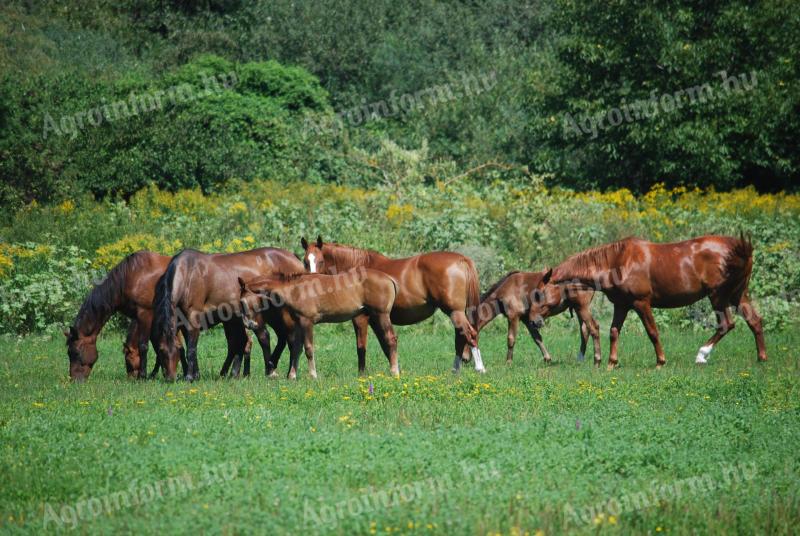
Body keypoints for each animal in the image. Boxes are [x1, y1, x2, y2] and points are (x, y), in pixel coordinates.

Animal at [151, 247, 304, 382]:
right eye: (161, 350)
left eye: (176, 350)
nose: (170, 378)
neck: (187, 273)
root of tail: (295, 258)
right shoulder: (183, 322)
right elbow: (189, 345)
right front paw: (195, 375)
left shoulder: (193, 317)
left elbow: (192, 348)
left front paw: (189, 377)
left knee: (267, 338)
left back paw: (274, 372)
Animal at [238, 266, 400, 376]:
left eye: (242, 302)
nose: (249, 324)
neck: (295, 289)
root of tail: (388, 278)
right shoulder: (298, 323)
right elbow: (296, 349)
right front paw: (292, 376)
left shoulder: (307, 322)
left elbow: (309, 349)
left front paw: (313, 375)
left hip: (382, 315)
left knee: (391, 339)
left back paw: (394, 371)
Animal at [302, 237, 484, 374]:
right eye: (305, 261)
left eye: (320, 260)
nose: (311, 280)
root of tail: (462, 260)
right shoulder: (376, 319)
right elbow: (385, 345)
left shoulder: (361, 318)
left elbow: (361, 346)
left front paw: (362, 374)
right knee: (461, 336)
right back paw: (456, 370)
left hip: (454, 311)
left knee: (469, 334)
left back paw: (479, 368)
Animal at [540, 234, 764, 368]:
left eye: (539, 293)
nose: (536, 321)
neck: (618, 260)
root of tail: (740, 248)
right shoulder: (621, 305)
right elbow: (614, 332)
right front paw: (611, 363)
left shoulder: (641, 303)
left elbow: (652, 332)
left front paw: (660, 362)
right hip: (737, 295)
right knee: (754, 321)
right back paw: (761, 358)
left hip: (718, 296)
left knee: (726, 324)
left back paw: (702, 354)